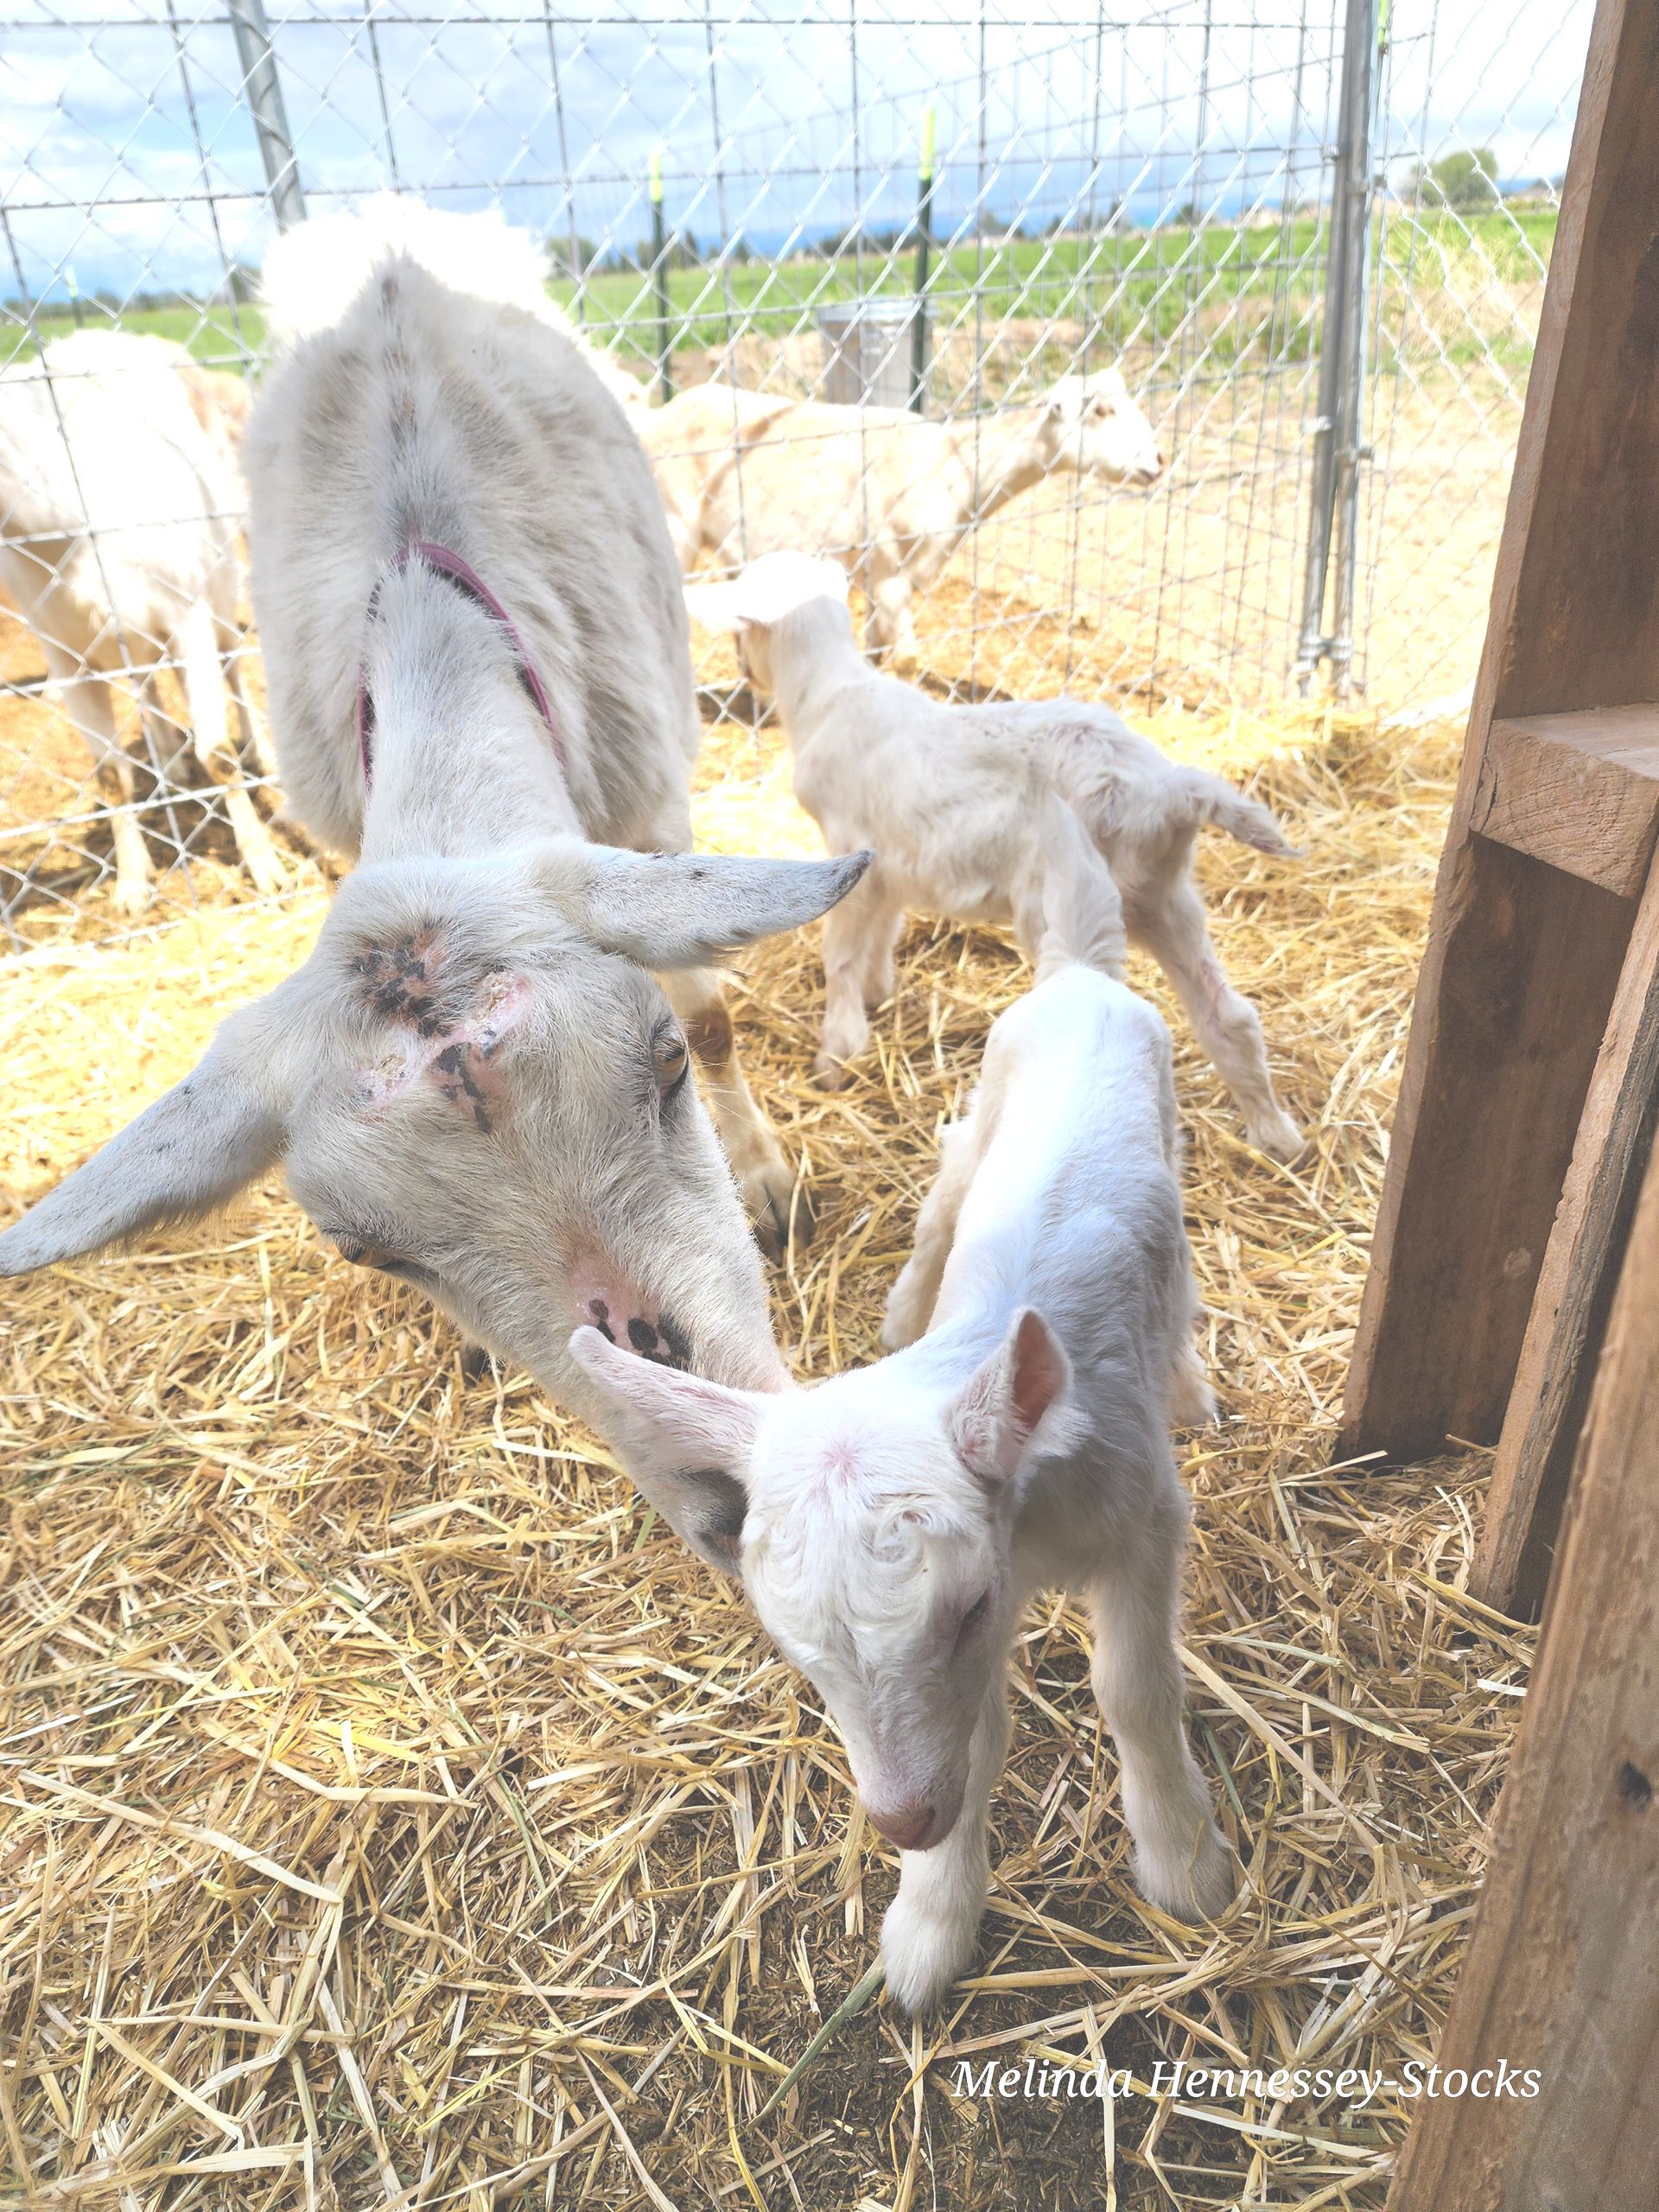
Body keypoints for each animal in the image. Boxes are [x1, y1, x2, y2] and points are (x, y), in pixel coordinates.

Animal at [0, 329, 283, 914]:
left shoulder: (188, 615)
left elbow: (218, 755)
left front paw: (265, 864)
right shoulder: (65, 655)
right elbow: (110, 776)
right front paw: (131, 883)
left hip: (224, 580)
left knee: (234, 666)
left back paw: (262, 753)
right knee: (149, 685)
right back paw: (168, 764)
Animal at [573, 805, 1234, 2013]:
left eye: (967, 1611)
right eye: (797, 1651)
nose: (901, 1819)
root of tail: (1080, 978)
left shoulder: (1140, 1515)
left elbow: (1132, 1688)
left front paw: (1185, 1867)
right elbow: (971, 1742)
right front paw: (929, 1928)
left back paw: (1189, 1383)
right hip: (988, 1101)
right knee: (942, 1206)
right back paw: (899, 1310)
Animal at [671, 369, 1165, 664]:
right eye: (1100, 410)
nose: (1159, 459)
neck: (955, 464)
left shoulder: (877, 573)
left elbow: (875, 651)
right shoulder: (891, 566)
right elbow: (906, 658)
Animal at [694, 551, 1304, 1161]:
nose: (744, 672)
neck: (827, 695)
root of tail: (1170, 791)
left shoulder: (850, 848)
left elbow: (840, 955)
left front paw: (836, 1055)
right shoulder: (891, 862)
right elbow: (883, 933)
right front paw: (879, 992)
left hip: (1070, 898)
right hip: (1166, 894)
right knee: (1230, 1015)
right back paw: (1278, 1138)